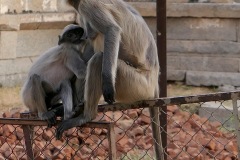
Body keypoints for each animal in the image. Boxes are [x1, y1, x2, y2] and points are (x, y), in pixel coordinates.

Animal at [55, 0, 161, 158]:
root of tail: (154, 82)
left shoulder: (88, 4)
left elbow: (112, 30)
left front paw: (107, 85)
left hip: (137, 85)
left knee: (98, 58)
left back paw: (87, 116)